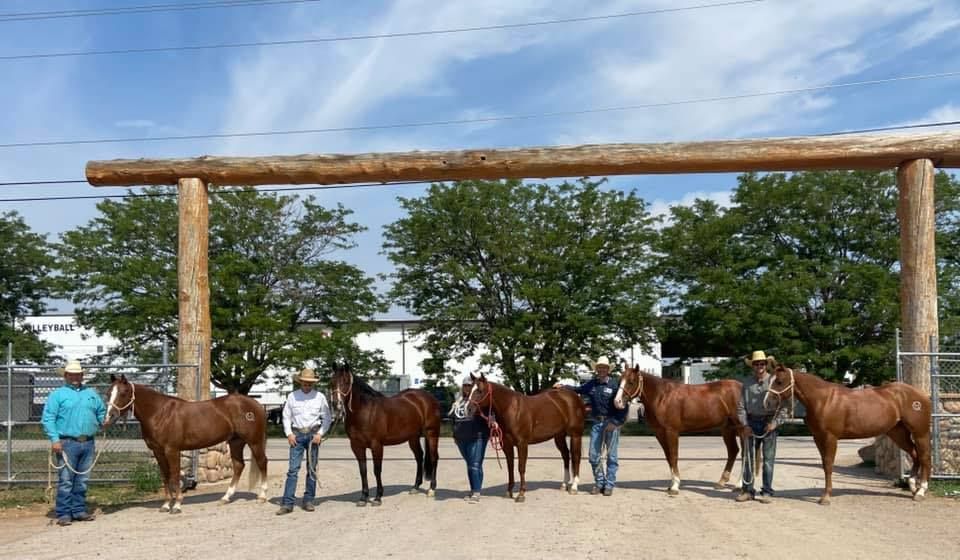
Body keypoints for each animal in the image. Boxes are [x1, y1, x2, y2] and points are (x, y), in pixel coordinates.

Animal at [103, 374, 268, 516]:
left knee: (262, 462)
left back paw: (262, 496)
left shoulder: (172, 450)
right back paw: (226, 498)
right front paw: (165, 505)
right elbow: (165, 476)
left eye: (124, 392)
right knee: (239, 465)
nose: (109, 417)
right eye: (108, 393)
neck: (159, 413)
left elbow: (175, 476)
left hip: (254, 441)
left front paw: (177, 505)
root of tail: (256, 404)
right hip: (236, 442)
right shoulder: (158, 451)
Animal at [326, 366, 438, 506]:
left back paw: (431, 489)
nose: (336, 405)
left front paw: (378, 497)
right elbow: (363, 470)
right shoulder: (357, 446)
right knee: (419, 457)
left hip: (432, 434)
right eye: (332, 382)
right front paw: (363, 497)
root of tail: (428, 397)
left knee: (434, 458)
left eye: (346, 382)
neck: (365, 412)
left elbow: (376, 470)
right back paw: (415, 487)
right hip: (413, 438)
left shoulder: (377, 446)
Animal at [616, 368, 744, 494]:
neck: (662, 396)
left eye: (631, 382)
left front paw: (675, 486)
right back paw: (721, 482)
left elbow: (674, 455)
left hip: (741, 428)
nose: (617, 402)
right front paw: (671, 484)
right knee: (733, 451)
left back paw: (739, 485)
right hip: (727, 429)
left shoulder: (672, 431)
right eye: (619, 381)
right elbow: (668, 457)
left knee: (744, 453)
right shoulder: (660, 433)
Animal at [764, 360, 928, 506]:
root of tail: (922, 394)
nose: (767, 403)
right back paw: (913, 488)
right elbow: (824, 464)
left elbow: (829, 464)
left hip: (920, 433)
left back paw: (921, 491)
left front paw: (826, 497)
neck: (823, 400)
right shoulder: (818, 438)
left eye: (779, 381)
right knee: (915, 454)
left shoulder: (830, 438)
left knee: (924, 457)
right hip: (898, 434)